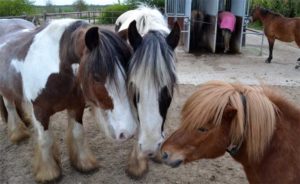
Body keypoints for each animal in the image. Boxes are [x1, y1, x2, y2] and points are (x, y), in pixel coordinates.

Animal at [0, 18, 137, 183]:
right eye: (96, 77)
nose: (128, 132)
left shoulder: (76, 106)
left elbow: (78, 133)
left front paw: (84, 163)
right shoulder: (40, 111)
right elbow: (45, 140)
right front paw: (49, 173)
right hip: (5, 89)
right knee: (10, 107)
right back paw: (18, 134)